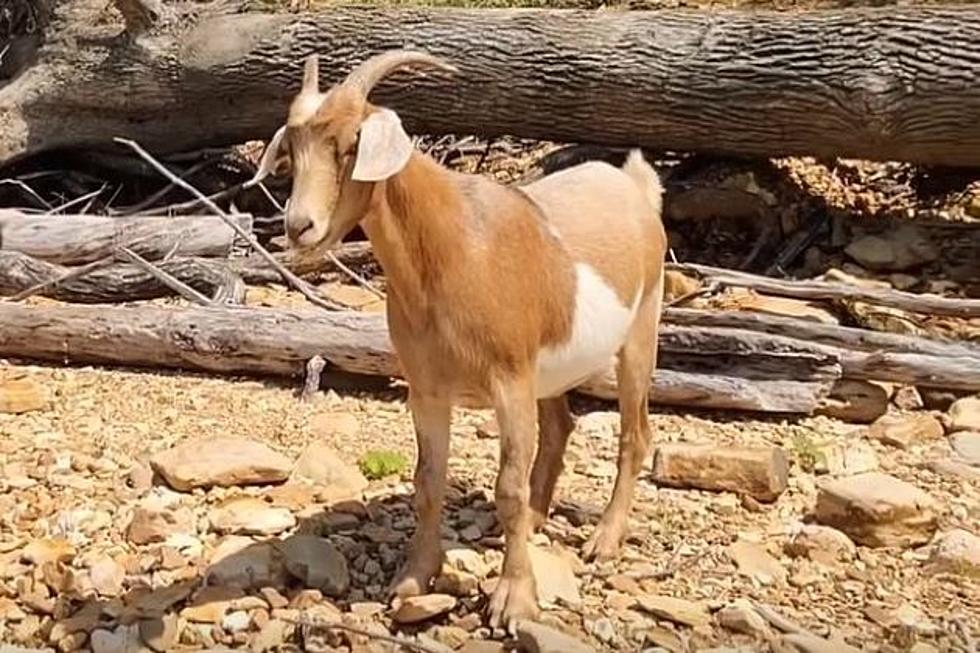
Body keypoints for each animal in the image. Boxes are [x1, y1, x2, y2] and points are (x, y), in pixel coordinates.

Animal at [249, 49, 668, 628]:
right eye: (290, 149)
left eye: (353, 143)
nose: (299, 227)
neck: (455, 247)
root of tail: (633, 184)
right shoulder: (427, 389)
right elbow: (428, 483)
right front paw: (412, 579)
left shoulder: (509, 381)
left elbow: (508, 487)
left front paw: (514, 599)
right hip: (548, 368)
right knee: (560, 426)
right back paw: (537, 520)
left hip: (639, 333)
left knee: (635, 435)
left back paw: (604, 539)